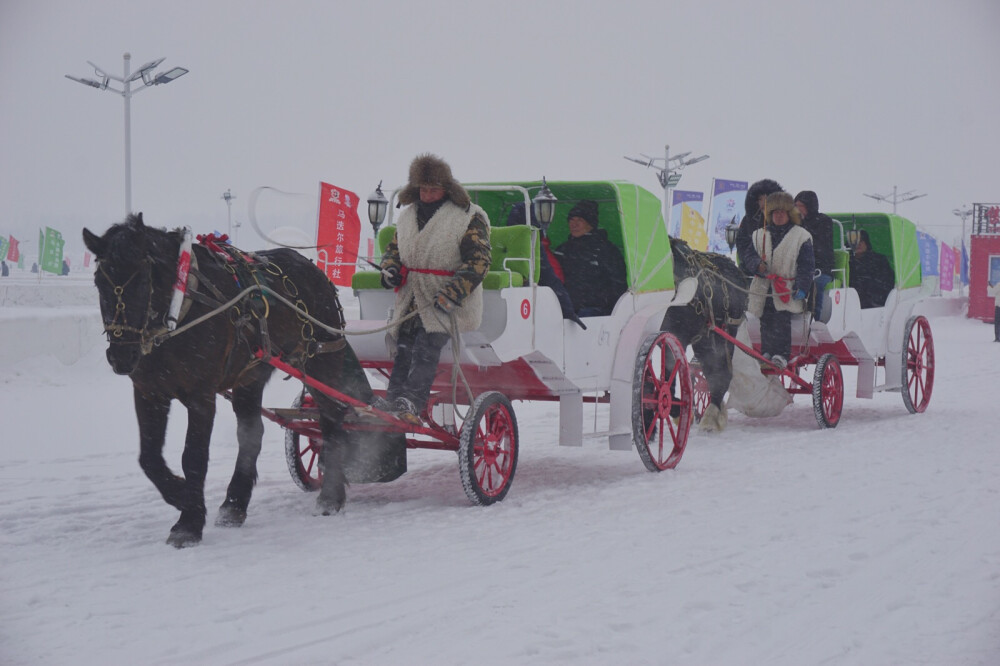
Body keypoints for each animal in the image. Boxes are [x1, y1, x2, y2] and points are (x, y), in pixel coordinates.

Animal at [83, 214, 394, 544]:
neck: (182, 306)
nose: (120, 356)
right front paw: (180, 495)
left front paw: (189, 521)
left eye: (143, 280)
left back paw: (330, 497)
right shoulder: (148, 392)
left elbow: (193, 456)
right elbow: (149, 457)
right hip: (251, 375)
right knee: (252, 435)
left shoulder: (201, 395)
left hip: (319, 360)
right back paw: (235, 504)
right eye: (100, 282)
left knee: (332, 419)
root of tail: (315, 270)